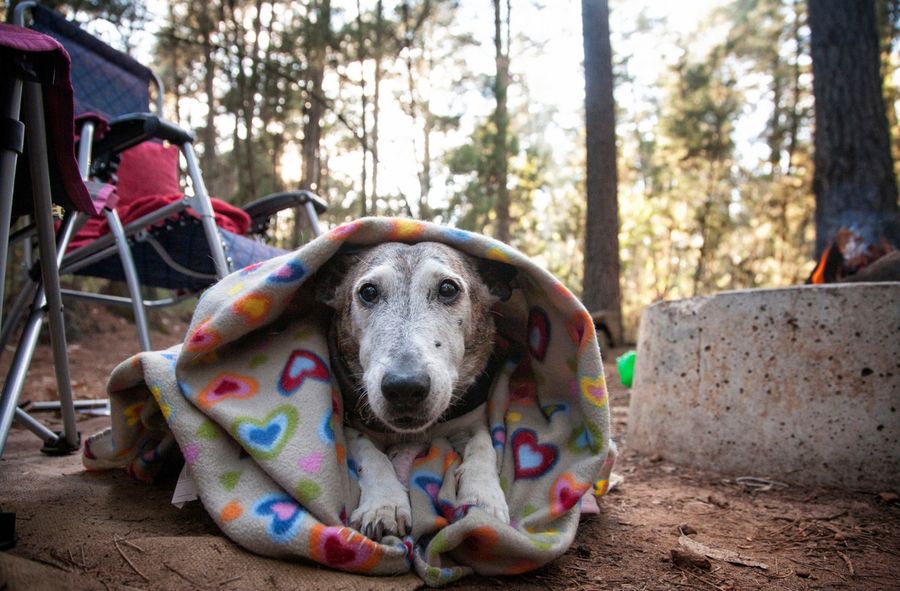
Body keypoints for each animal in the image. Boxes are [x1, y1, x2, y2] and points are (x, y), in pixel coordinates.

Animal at [316, 240, 512, 540]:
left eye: (448, 289)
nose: (404, 387)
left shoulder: (473, 418)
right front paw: (384, 504)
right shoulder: (349, 423)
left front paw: (484, 498)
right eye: (368, 292)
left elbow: (484, 445)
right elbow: (370, 454)